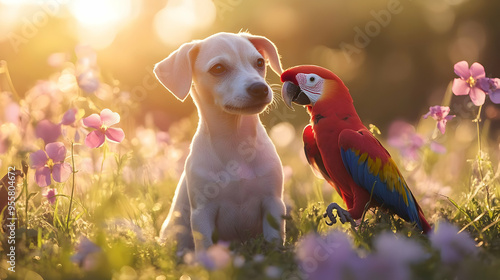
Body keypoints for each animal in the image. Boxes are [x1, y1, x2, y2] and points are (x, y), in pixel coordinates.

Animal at [153, 31, 286, 253]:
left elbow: (274, 241)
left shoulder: (273, 203)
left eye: (259, 62)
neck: (234, 140)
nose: (260, 88)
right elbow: (205, 247)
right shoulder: (202, 213)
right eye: (218, 68)